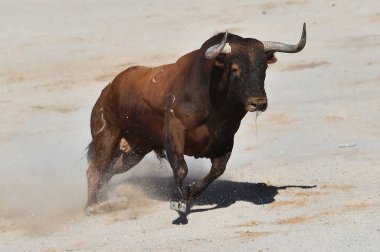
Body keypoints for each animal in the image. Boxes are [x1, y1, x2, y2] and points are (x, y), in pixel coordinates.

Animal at [85, 23, 306, 214]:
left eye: (264, 68)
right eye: (235, 69)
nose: (258, 102)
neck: (214, 103)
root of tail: (107, 91)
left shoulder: (226, 139)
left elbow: (217, 170)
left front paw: (191, 192)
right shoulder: (173, 131)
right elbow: (181, 167)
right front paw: (178, 201)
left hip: (134, 150)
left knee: (109, 171)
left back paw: (104, 200)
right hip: (107, 136)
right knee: (95, 169)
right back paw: (93, 207)